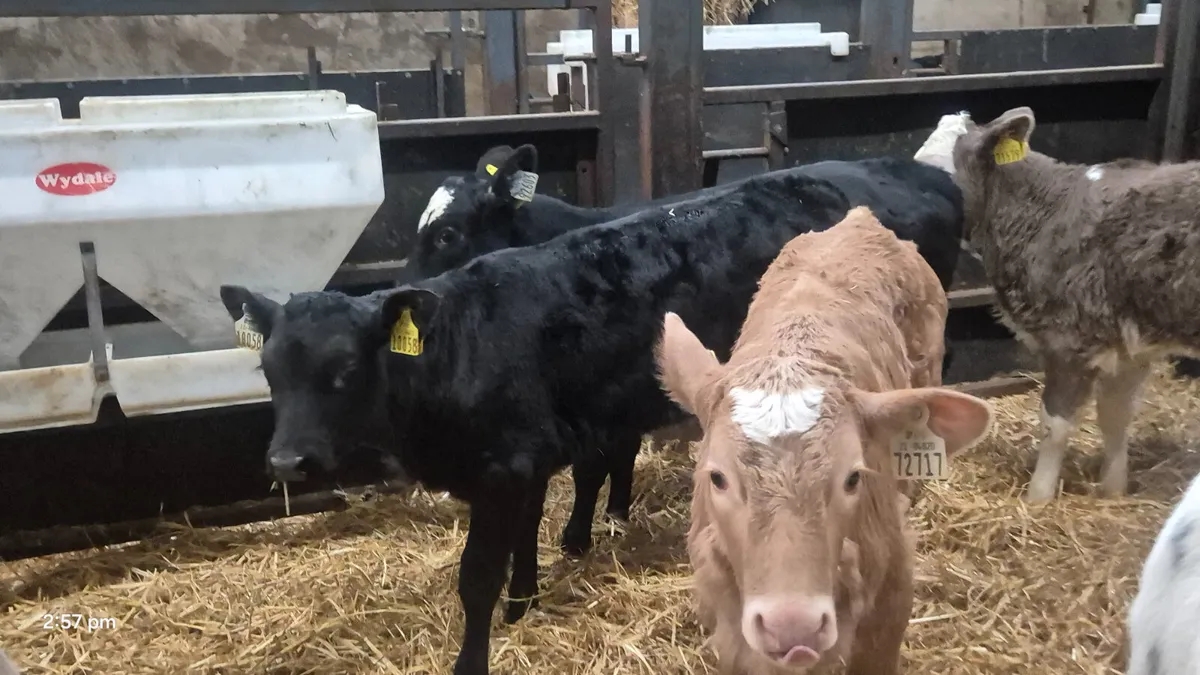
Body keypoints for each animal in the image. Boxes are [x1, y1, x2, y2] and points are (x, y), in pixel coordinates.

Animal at [410, 146, 965, 553]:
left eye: (447, 233)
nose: (405, 292)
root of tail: (921, 173)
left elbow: (594, 467)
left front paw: (577, 538)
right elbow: (620, 458)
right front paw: (617, 513)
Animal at [922, 106, 1200, 503]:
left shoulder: (1068, 338)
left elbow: (1054, 425)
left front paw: (1037, 498)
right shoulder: (1130, 345)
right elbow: (1115, 415)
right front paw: (1113, 490)